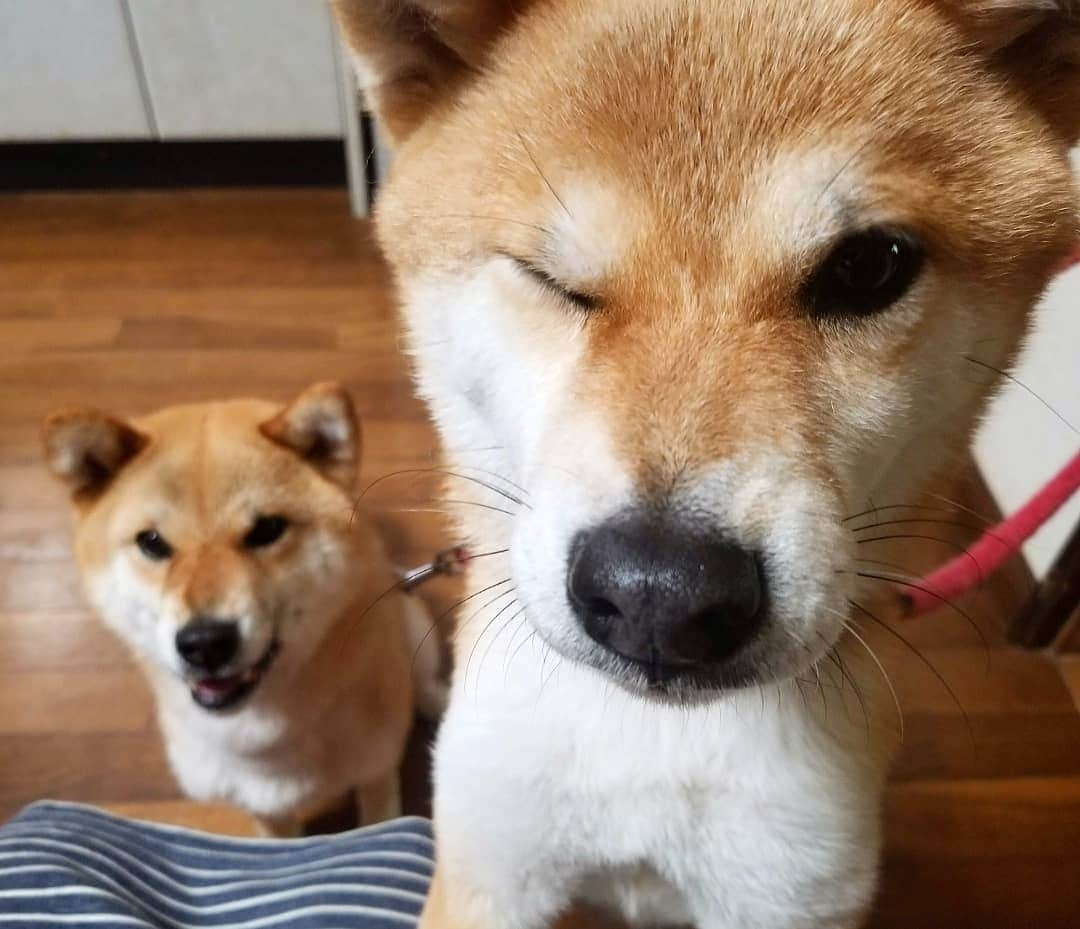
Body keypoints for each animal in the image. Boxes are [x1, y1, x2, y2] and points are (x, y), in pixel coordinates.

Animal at [42, 382, 444, 833]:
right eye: (152, 542)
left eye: (267, 529)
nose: (206, 643)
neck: (261, 734)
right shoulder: (266, 808)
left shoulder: (376, 771)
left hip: (413, 622)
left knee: (424, 680)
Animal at [332, 3, 1075, 924]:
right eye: (550, 277)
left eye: (869, 266)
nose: (661, 594)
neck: (650, 741)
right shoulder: (489, 868)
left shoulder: (790, 890)